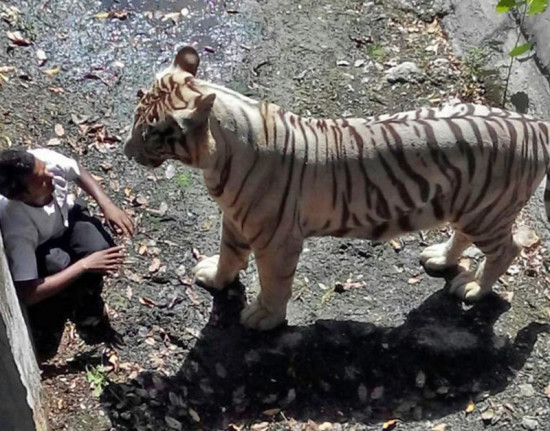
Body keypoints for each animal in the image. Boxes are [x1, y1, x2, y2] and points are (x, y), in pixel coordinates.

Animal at [124, 46, 550, 330]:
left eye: (151, 133)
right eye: (136, 117)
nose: (126, 151)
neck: (217, 158)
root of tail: (535, 123)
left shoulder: (277, 239)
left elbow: (274, 281)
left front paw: (264, 317)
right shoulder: (235, 219)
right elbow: (230, 254)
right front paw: (215, 277)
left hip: (489, 212)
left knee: (507, 249)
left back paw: (474, 288)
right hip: (465, 205)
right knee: (462, 236)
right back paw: (440, 258)